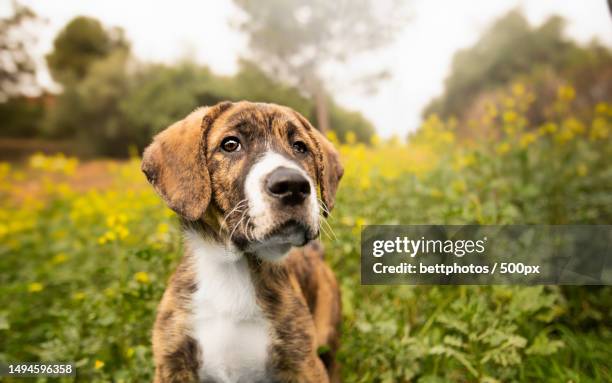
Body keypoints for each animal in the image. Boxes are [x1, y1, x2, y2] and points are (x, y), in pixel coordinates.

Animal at [143, 102, 344, 383]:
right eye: (230, 144)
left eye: (300, 147)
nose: (292, 185)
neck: (231, 271)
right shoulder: (171, 365)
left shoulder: (304, 365)